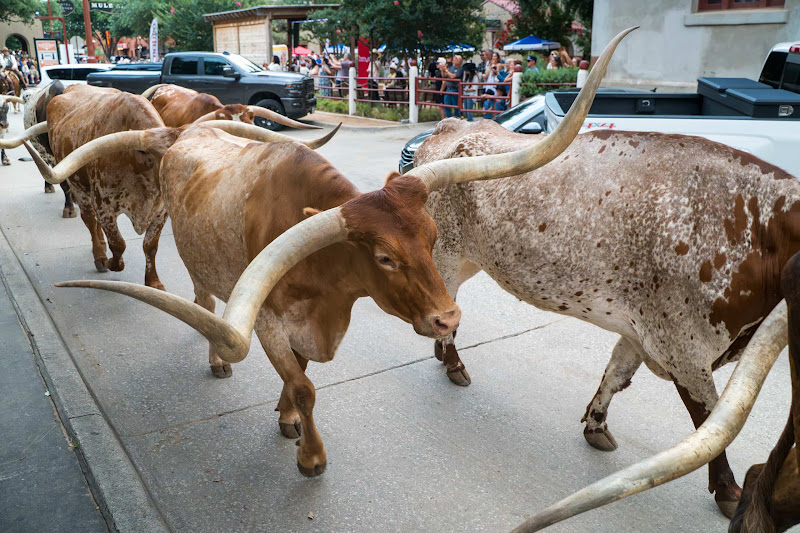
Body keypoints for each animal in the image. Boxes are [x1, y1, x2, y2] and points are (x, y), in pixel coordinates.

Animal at [412, 76, 800, 517]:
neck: (761, 231)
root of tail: (452, 127)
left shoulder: (641, 332)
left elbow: (616, 374)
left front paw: (596, 424)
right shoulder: (684, 349)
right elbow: (710, 424)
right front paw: (727, 489)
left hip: (470, 259)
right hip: (446, 254)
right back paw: (453, 362)